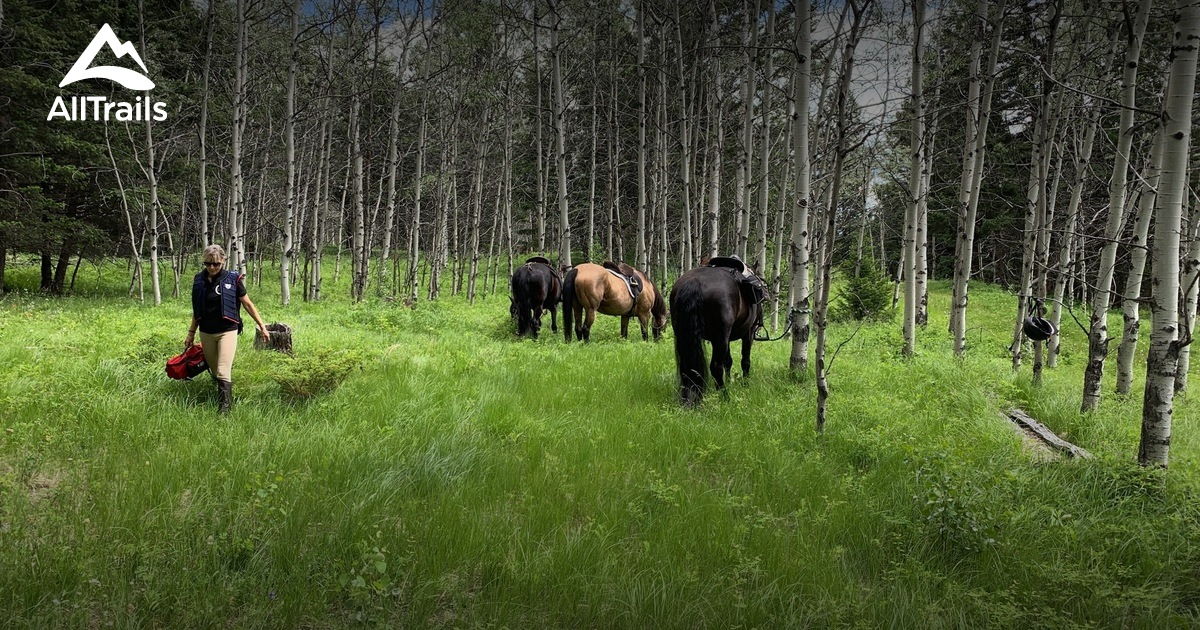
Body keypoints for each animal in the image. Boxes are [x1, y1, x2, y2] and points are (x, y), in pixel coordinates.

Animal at [672, 262, 763, 405]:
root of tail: (693, 280)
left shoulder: (726, 338)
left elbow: (728, 361)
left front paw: (730, 381)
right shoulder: (748, 333)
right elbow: (745, 361)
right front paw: (745, 384)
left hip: (684, 336)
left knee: (686, 368)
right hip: (720, 338)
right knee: (716, 367)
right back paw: (724, 396)